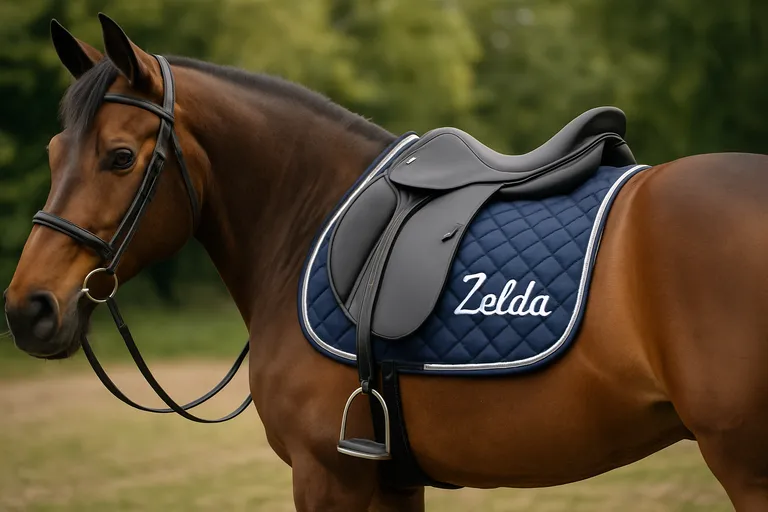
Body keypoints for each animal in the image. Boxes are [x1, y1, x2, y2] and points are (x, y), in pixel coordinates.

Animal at [6, 14, 768, 511]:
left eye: (119, 157)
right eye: (51, 152)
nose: (28, 309)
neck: (309, 217)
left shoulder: (326, 476)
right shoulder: (392, 479)